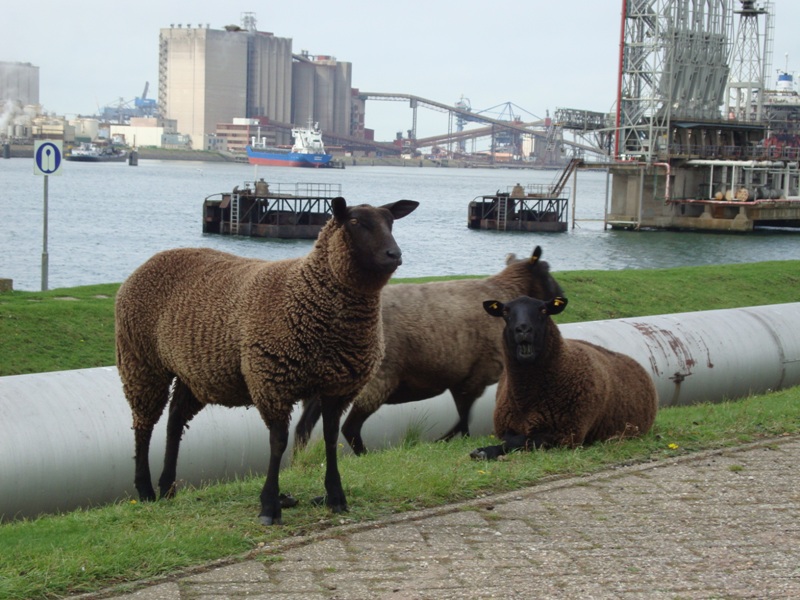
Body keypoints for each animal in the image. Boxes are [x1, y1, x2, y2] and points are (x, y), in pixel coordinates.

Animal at [118, 198, 422, 524]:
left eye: (391, 222)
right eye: (354, 222)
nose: (394, 255)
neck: (308, 292)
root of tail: (151, 261)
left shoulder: (338, 387)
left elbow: (329, 438)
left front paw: (336, 497)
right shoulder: (272, 381)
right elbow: (278, 443)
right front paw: (269, 506)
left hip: (194, 372)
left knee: (174, 421)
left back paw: (168, 488)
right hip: (141, 361)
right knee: (143, 425)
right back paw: (146, 490)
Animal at [294, 246, 564, 452]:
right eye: (547, 270)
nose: (562, 296)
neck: (506, 293)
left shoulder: (461, 379)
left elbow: (463, 417)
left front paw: (450, 441)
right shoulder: (475, 377)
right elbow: (464, 418)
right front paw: (445, 441)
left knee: (303, 427)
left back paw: (299, 462)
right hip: (377, 381)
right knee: (349, 428)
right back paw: (364, 456)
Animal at [468, 296, 656, 460]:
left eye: (543, 310)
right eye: (506, 311)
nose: (523, 330)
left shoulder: (565, 434)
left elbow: (520, 440)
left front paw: (484, 451)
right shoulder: (507, 426)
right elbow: (511, 438)